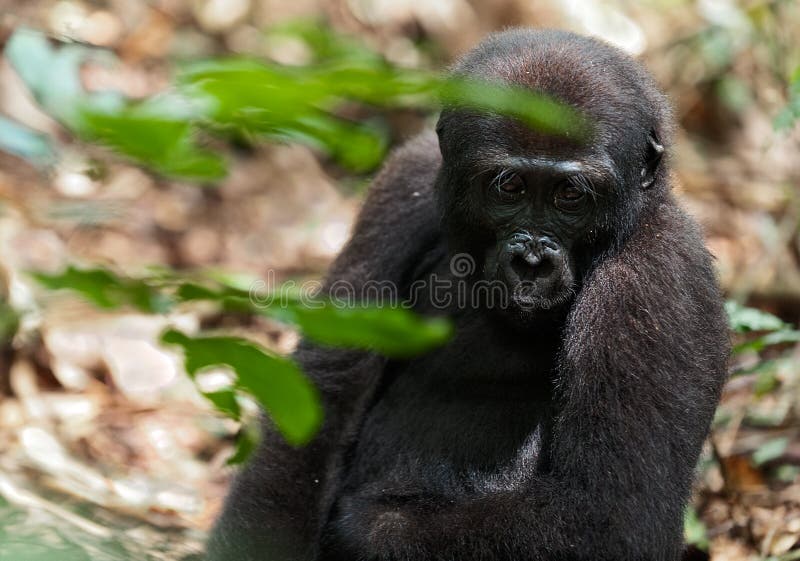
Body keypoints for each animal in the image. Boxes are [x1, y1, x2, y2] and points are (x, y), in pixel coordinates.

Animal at [208, 28, 732, 560]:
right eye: (510, 186)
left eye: (570, 194)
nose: (532, 260)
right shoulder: (406, 182)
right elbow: (320, 401)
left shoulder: (658, 278)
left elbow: (610, 518)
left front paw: (365, 529)